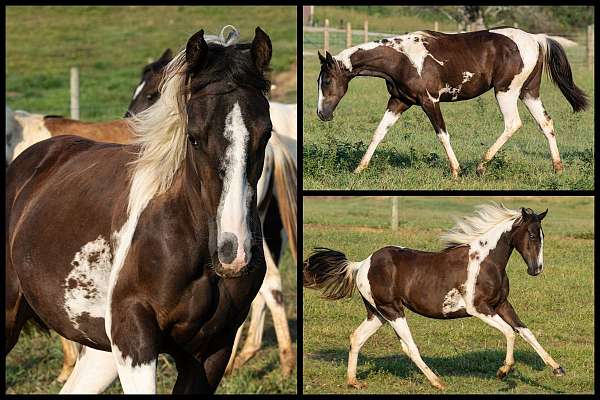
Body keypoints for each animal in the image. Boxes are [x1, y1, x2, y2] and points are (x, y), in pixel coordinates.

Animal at [5, 27, 274, 394]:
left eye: (266, 134)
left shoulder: (211, 352)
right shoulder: (134, 339)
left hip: (99, 349)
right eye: (193, 137)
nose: (234, 252)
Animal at [304, 205, 564, 390]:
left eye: (542, 235)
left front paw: (557, 368)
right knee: (409, 347)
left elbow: (526, 332)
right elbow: (510, 332)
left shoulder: (501, 304)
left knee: (357, 338)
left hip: (377, 314)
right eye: (531, 235)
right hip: (392, 311)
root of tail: (361, 264)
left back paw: (353, 382)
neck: (486, 261)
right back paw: (438, 382)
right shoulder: (479, 308)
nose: (536, 269)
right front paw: (503, 371)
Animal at [316, 27, 588, 177]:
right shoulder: (399, 101)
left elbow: (442, 135)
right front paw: (359, 169)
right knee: (546, 123)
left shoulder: (429, 101)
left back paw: (481, 166)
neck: (402, 59)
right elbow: (379, 133)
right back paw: (557, 168)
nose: (322, 114)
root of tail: (535, 38)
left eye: (327, 81)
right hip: (528, 92)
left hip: (506, 91)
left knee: (513, 124)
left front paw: (456, 171)